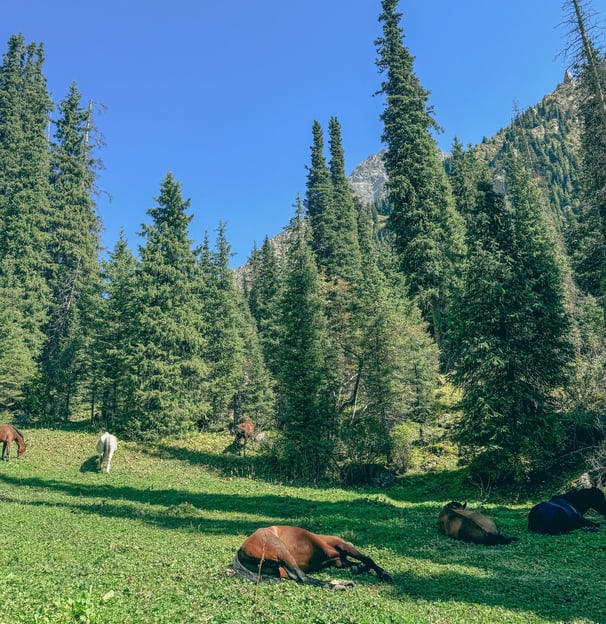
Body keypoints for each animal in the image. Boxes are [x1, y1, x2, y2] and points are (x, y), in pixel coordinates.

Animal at [232, 524, 394, 588]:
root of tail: (241, 550)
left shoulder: (338, 562)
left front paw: (358, 568)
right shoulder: (342, 547)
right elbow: (367, 559)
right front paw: (384, 574)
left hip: (280, 568)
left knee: (297, 577)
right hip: (282, 551)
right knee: (302, 577)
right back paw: (340, 585)